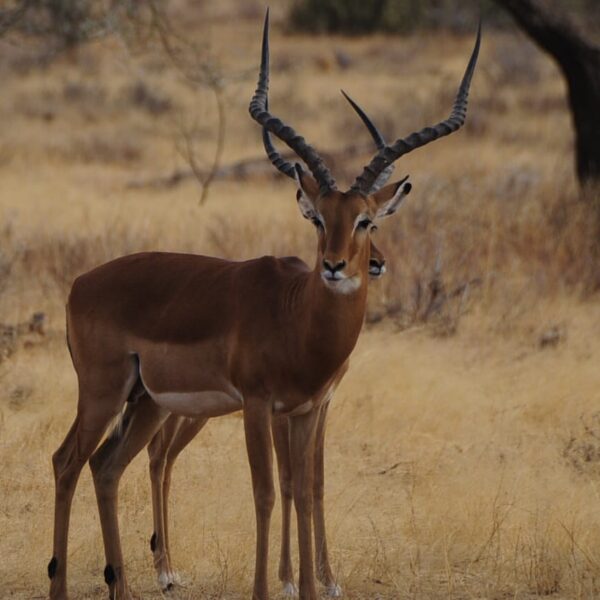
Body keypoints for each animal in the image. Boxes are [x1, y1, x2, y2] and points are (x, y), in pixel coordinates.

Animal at [48, 9, 480, 600]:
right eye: (318, 219)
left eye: (365, 219)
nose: (337, 266)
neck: (296, 318)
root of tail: (81, 282)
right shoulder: (257, 405)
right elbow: (269, 494)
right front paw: (274, 586)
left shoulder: (305, 409)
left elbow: (307, 489)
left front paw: (315, 585)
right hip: (103, 392)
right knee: (67, 461)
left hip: (147, 402)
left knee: (107, 467)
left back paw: (127, 586)